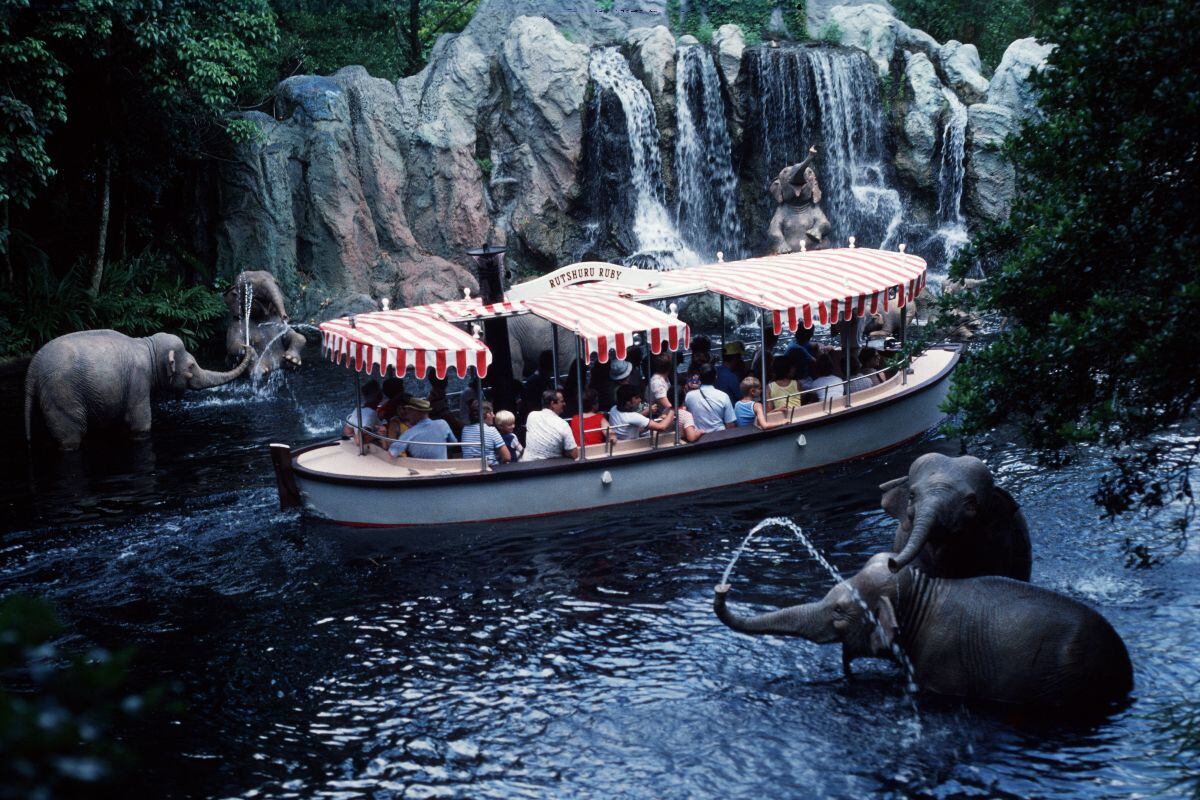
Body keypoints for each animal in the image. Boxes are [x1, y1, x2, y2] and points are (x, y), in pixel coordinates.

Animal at [23, 328, 254, 448]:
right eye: (191, 366)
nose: (245, 346)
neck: (147, 344)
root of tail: (32, 370)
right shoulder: (138, 379)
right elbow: (139, 422)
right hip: (62, 393)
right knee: (72, 433)